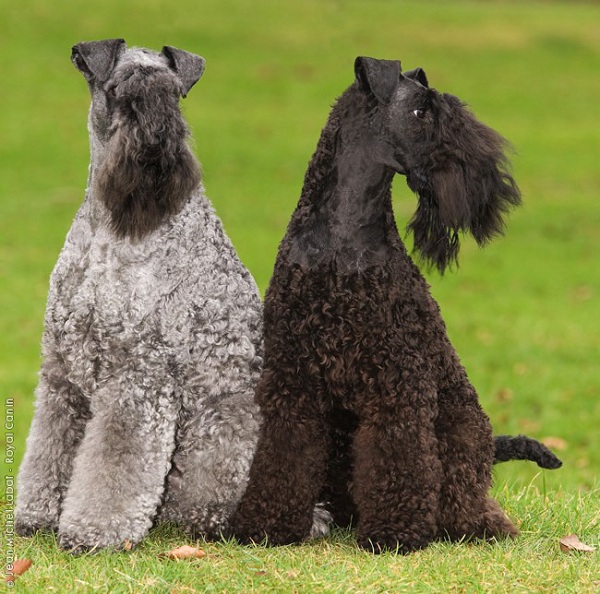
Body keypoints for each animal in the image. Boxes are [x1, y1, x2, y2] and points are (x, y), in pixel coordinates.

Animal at [15, 39, 310, 552]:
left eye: (174, 96)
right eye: (118, 91)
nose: (156, 145)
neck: (109, 233)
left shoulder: (136, 377)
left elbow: (115, 463)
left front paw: (93, 531)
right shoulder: (61, 373)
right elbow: (50, 446)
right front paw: (37, 515)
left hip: (223, 426)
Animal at [231, 56, 564, 552]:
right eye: (423, 112)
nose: (488, 181)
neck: (342, 244)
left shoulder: (397, 378)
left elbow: (399, 457)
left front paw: (395, 532)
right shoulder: (293, 378)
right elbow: (283, 454)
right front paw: (265, 527)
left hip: (460, 433)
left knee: (467, 496)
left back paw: (476, 526)